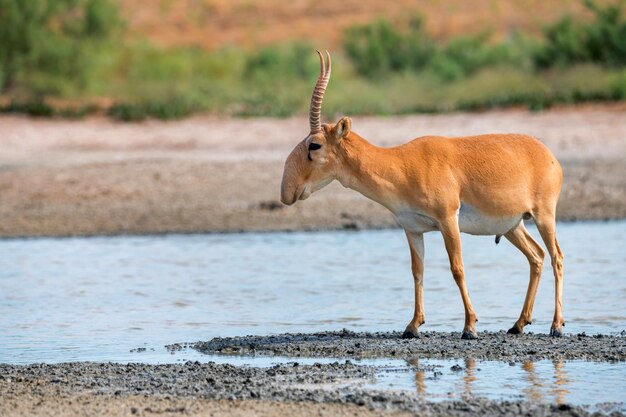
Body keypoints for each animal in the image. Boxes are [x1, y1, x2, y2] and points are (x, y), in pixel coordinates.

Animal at [280, 51, 564, 338]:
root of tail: (548, 154)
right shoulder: (413, 229)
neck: (402, 165)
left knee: (556, 258)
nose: (287, 193)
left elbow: (457, 269)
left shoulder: (448, 221)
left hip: (543, 216)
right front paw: (412, 325)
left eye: (314, 145)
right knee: (537, 257)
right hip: (512, 227)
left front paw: (469, 326)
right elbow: (417, 272)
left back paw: (556, 326)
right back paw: (518, 324)